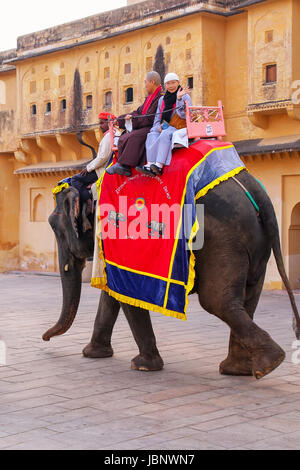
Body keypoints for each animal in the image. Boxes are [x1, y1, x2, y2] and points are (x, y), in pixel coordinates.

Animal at [42, 171, 300, 380]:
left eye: (56, 227)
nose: (45, 339)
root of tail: (258, 194)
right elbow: (113, 293)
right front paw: (93, 354)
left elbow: (125, 293)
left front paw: (143, 366)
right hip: (257, 244)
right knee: (249, 297)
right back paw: (240, 369)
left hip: (222, 240)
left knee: (217, 301)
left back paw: (268, 364)